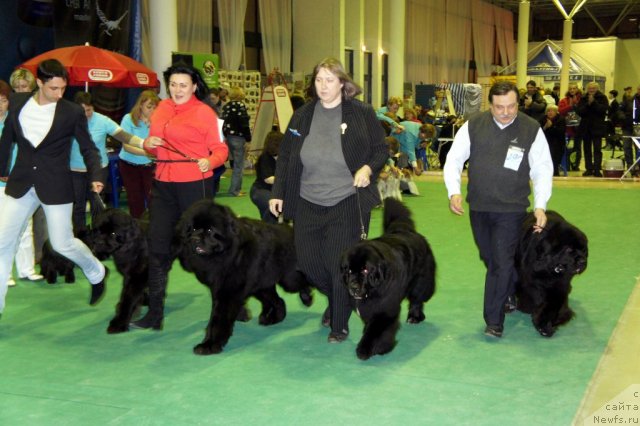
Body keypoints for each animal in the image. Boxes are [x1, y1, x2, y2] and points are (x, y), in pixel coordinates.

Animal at [174, 200, 314, 356]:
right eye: (192, 229)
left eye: (210, 231)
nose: (194, 239)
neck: (228, 253)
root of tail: (290, 229)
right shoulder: (221, 288)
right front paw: (242, 315)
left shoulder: (228, 292)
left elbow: (218, 318)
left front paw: (209, 345)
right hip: (261, 284)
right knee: (278, 300)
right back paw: (273, 318)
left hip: (288, 279)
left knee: (302, 282)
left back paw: (306, 298)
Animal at [340, 199, 436, 360]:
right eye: (349, 271)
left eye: (365, 270)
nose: (353, 286)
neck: (373, 290)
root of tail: (406, 231)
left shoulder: (385, 309)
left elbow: (375, 331)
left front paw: (367, 349)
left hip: (421, 281)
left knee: (417, 299)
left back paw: (414, 317)